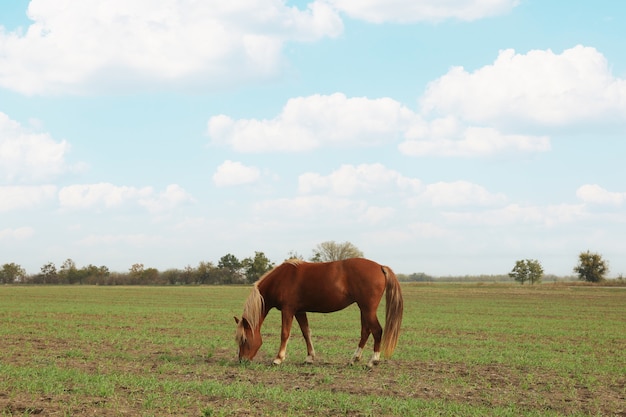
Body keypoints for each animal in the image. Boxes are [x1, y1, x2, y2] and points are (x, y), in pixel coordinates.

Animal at [232, 256, 402, 368]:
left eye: (244, 339)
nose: (242, 360)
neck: (281, 279)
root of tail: (380, 266)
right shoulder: (299, 311)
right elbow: (306, 332)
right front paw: (309, 357)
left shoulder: (288, 310)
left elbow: (285, 333)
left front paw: (278, 358)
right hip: (363, 309)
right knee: (365, 331)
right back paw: (354, 359)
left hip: (367, 309)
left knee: (377, 331)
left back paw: (373, 361)